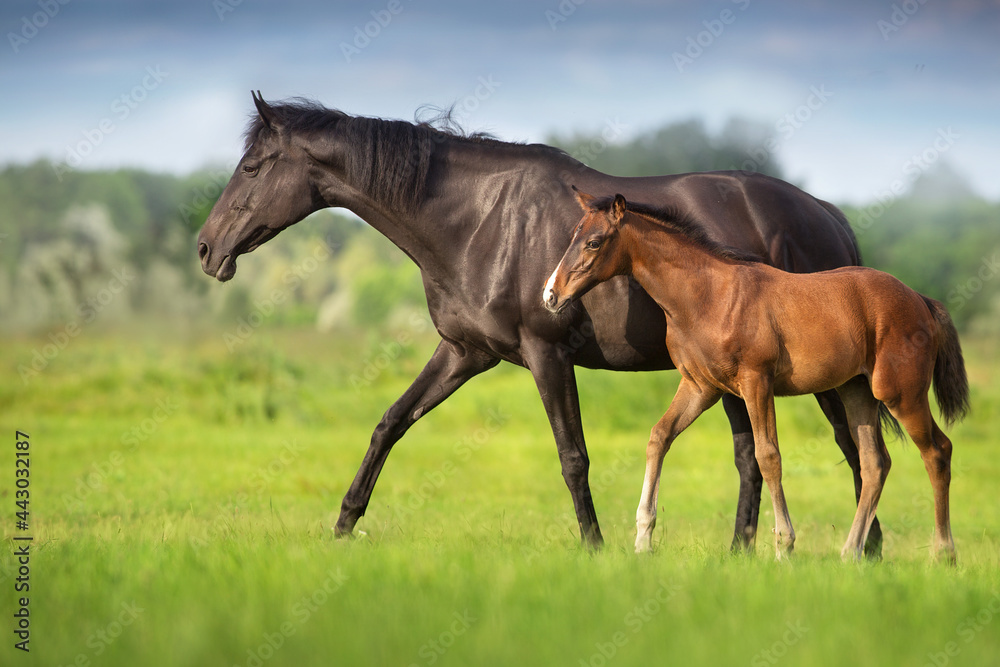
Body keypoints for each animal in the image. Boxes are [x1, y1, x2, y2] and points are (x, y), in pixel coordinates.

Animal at [197, 91, 877, 552]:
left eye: (252, 167)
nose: (206, 249)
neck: (479, 221)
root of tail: (826, 214)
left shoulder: (546, 355)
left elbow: (573, 455)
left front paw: (595, 547)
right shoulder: (464, 353)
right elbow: (389, 424)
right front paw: (343, 525)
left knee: (851, 447)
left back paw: (864, 551)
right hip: (732, 378)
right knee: (755, 458)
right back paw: (745, 554)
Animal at [542, 190, 969, 561]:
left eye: (594, 242)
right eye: (572, 237)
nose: (550, 295)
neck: (709, 296)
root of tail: (921, 300)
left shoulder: (755, 381)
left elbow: (768, 456)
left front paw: (784, 546)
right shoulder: (700, 386)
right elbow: (659, 436)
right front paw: (643, 538)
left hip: (900, 393)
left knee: (938, 451)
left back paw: (943, 554)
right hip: (856, 391)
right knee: (874, 463)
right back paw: (850, 554)